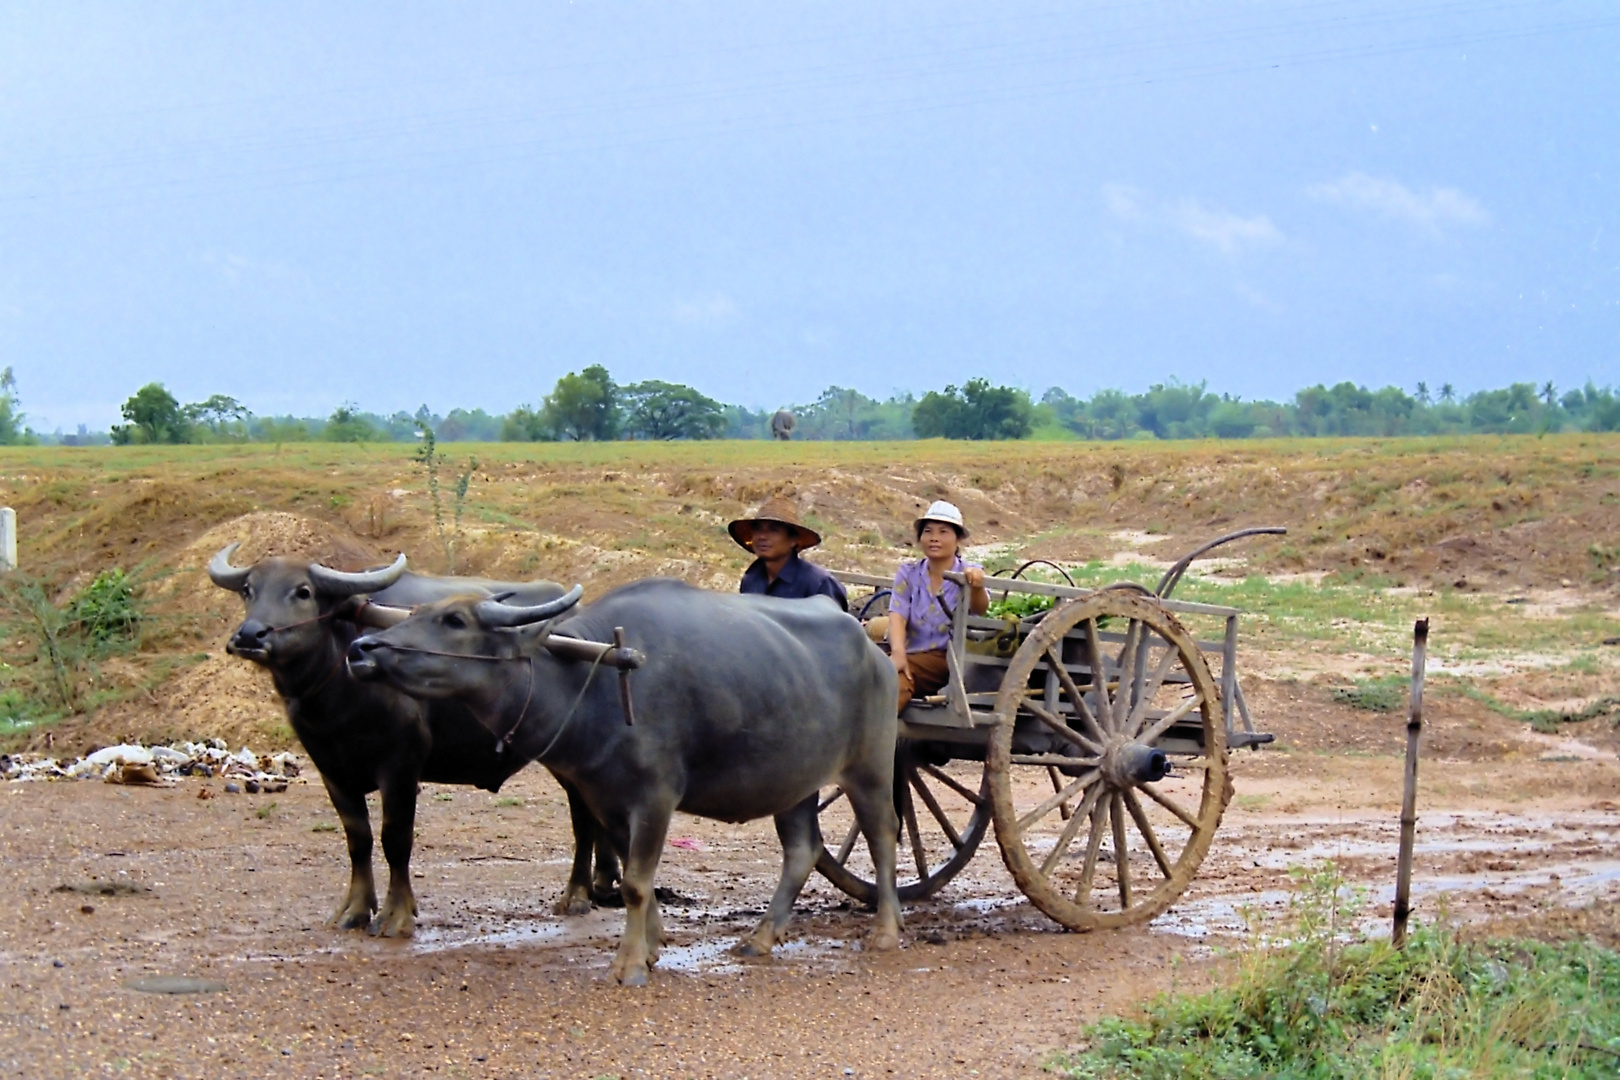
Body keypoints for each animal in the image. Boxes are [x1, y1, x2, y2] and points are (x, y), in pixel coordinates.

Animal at [208, 550, 612, 939]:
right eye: (248, 590)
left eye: (303, 591)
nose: (250, 635)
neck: (339, 695)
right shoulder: (331, 771)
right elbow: (358, 840)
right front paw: (354, 910)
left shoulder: (400, 766)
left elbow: (395, 839)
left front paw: (395, 916)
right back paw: (603, 886)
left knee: (582, 818)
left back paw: (577, 895)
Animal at [349, 582, 907, 990]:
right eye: (419, 610)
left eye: (455, 621)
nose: (361, 647)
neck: (594, 680)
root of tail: (873, 650)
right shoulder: (607, 800)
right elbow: (631, 875)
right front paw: (654, 944)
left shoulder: (656, 798)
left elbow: (637, 882)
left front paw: (630, 964)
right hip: (793, 783)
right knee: (802, 849)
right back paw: (761, 938)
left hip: (870, 769)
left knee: (883, 837)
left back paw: (885, 930)